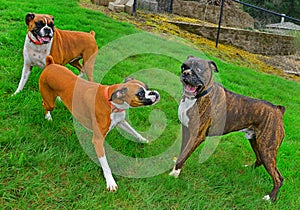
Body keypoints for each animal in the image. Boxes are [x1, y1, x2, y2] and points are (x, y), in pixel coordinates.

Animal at [40, 55, 162, 190]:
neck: (112, 103)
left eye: (148, 88)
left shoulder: (121, 122)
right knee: (44, 104)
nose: (155, 93)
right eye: (140, 94)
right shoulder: (98, 140)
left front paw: (144, 140)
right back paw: (48, 117)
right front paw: (110, 181)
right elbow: (105, 164)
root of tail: (50, 64)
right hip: (49, 101)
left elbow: (134, 132)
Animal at [170, 55, 284, 202]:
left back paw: (270, 198)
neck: (198, 97)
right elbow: (182, 153)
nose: (186, 73)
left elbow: (184, 155)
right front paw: (176, 169)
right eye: (184, 67)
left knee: (278, 177)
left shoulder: (196, 136)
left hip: (267, 149)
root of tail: (278, 110)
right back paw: (249, 170)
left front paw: (174, 174)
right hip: (256, 142)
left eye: (198, 69)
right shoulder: (186, 131)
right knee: (259, 160)